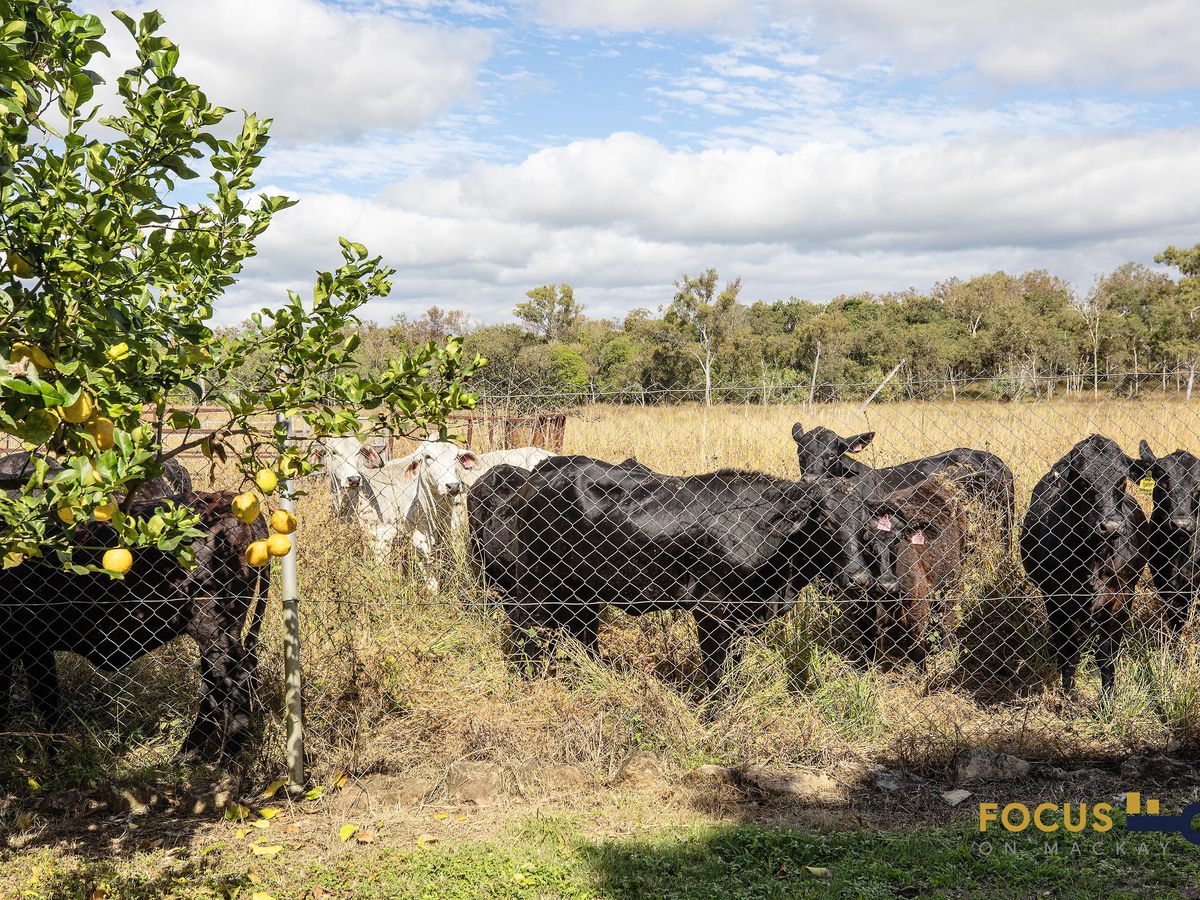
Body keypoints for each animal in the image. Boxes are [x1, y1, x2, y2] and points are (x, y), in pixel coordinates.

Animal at [0, 494, 267, 763]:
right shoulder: (32, 648)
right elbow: (44, 702)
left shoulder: (26, 647)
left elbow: (39, 703)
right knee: (216, 688)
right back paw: (187, 757)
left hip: (213, 628)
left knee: (237, 684)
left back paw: (224, 760)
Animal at [504, 453, 892, 696]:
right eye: (824, 522)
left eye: (864, 526)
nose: (859, 580)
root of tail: (547, 468)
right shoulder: (712, 610)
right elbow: (717, 673)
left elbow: (732, 670)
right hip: (536, 583)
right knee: (525, 629)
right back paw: (526, 680)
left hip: (583, 589)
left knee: (582, 635)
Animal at [1017, 436, 1147, 696]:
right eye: (1081, 481)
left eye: (1122, 479)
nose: (1111, 526)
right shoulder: (1056, 598)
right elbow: (1068, 652)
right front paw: (1069, 696)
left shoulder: (1121, 596)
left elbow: (1107, 655)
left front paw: (1108, 698)